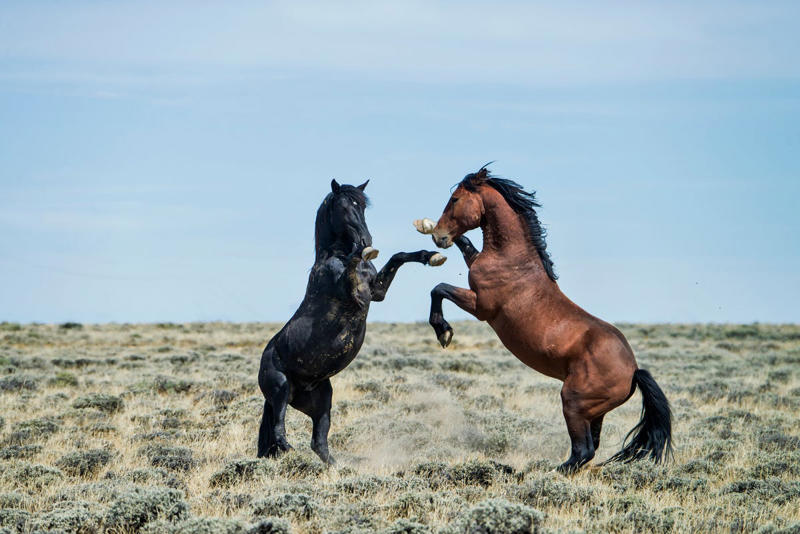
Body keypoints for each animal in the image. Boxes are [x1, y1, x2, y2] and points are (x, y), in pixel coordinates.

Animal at [258, 179, 446, 464]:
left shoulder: (376, 292)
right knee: (280, 431)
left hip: (321, 401)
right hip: (280, 387)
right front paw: (363, 250)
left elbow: (398, 256)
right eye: (344, 207)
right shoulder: (355, 294)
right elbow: (353, 264)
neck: (332, 257)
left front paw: (431, 256)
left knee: (319, 443)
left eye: (363, 206)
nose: (367, 239)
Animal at [414, 166, 672, 473]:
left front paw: (444, 332)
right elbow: (465, 247)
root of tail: (633, 370)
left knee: (582, 450)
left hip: (573, 402)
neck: (513, 260)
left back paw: (545, 471)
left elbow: (438, 289)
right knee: (589, 449)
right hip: (594, 412)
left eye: (454, 199)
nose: (439, 237)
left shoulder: (481, 307)